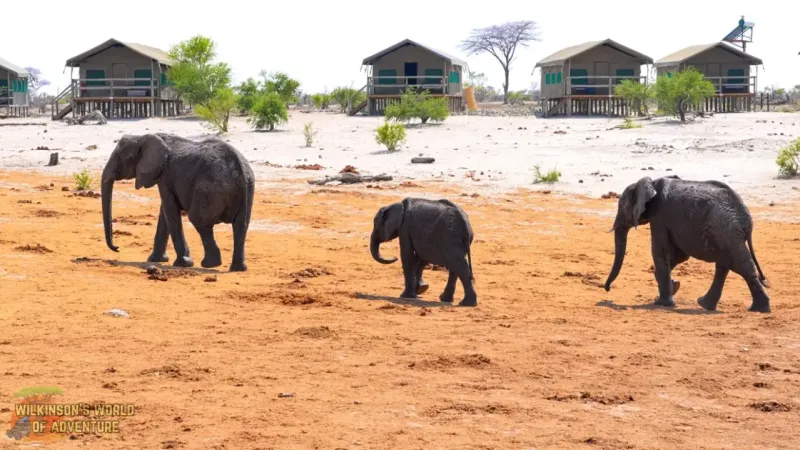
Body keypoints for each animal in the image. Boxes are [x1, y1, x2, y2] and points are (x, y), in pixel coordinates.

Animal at [101, 133, 255, 272]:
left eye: (122, 158)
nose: (117, 248)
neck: (143, 137)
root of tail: (240, 172)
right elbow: (165, 213)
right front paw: (155, 260)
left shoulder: (165, 175)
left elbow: (170, 212)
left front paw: (183, 263)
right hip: (247, 188)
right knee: (241, 226)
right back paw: (238, 269)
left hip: (209, 190)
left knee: (199, 221)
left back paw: (209, 265)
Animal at [603, 175, 771, 313]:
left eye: (623, 208)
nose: (607, 289)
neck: (651, 183)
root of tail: (746, 219)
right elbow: (678, 256)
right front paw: (674, 286)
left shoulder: (659, 217)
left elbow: (660, 251)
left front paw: (661, 303)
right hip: (727, 234)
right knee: (726, 265)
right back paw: (708, 305)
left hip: (725, 231)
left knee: (740, 266)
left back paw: (758, 309)